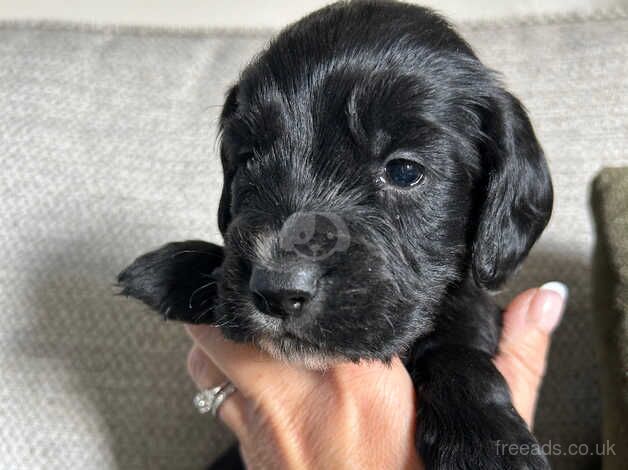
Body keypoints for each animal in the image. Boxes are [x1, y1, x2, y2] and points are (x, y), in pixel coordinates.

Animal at [116, 1, 548, 468]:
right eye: (247, 161)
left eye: (405, 171)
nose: (278, 290)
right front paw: (174, 269)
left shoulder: (471, 304)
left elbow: (460, 345)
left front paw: (485, 440)